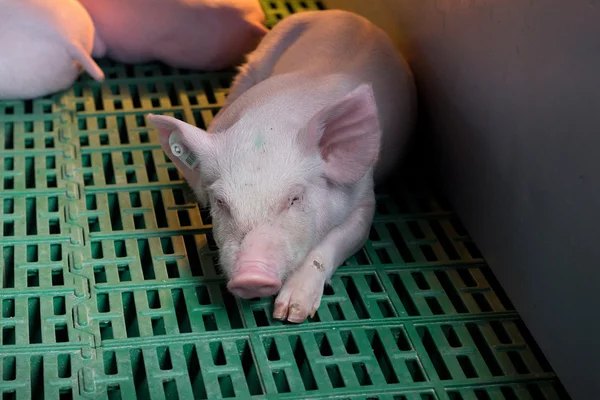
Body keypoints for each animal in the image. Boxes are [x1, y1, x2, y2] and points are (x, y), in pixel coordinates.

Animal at [146, 8, 418, 322]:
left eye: (294, 198)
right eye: (221, 202)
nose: (250, 276)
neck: (271, 122)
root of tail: (342, 13)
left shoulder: (364, 199)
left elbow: (340, 240)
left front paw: (291, 314)